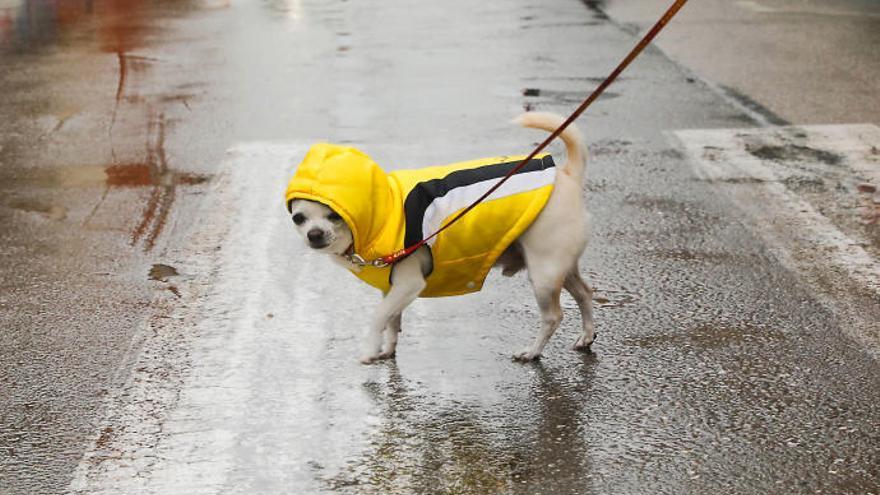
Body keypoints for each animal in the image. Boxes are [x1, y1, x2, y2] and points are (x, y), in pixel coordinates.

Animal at [288, 113, 592, 364]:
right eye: (299, 218)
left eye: (333, 216)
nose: (314, 234)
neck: (383, 211)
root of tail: (566, 175)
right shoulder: (392, 288)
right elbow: (391, 319)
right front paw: (387, 349)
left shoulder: (408, 284)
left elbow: (378, 316)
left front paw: (370, 349)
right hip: (560, 269)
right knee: (585, 293)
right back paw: (587, 336)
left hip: (543, 274)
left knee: (553, 316)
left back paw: (532, 352)